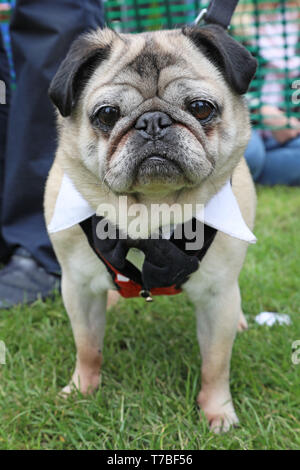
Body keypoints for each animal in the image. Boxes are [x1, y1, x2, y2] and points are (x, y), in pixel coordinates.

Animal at [44, 23, 258, 434]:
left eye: (201, 108)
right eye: (107, 114)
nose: (153, 122)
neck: (150, 214)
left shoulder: (218, 297)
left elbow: (215, 363)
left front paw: (218, 411)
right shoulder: (77, 288)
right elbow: (87, 346)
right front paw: (81, 390)